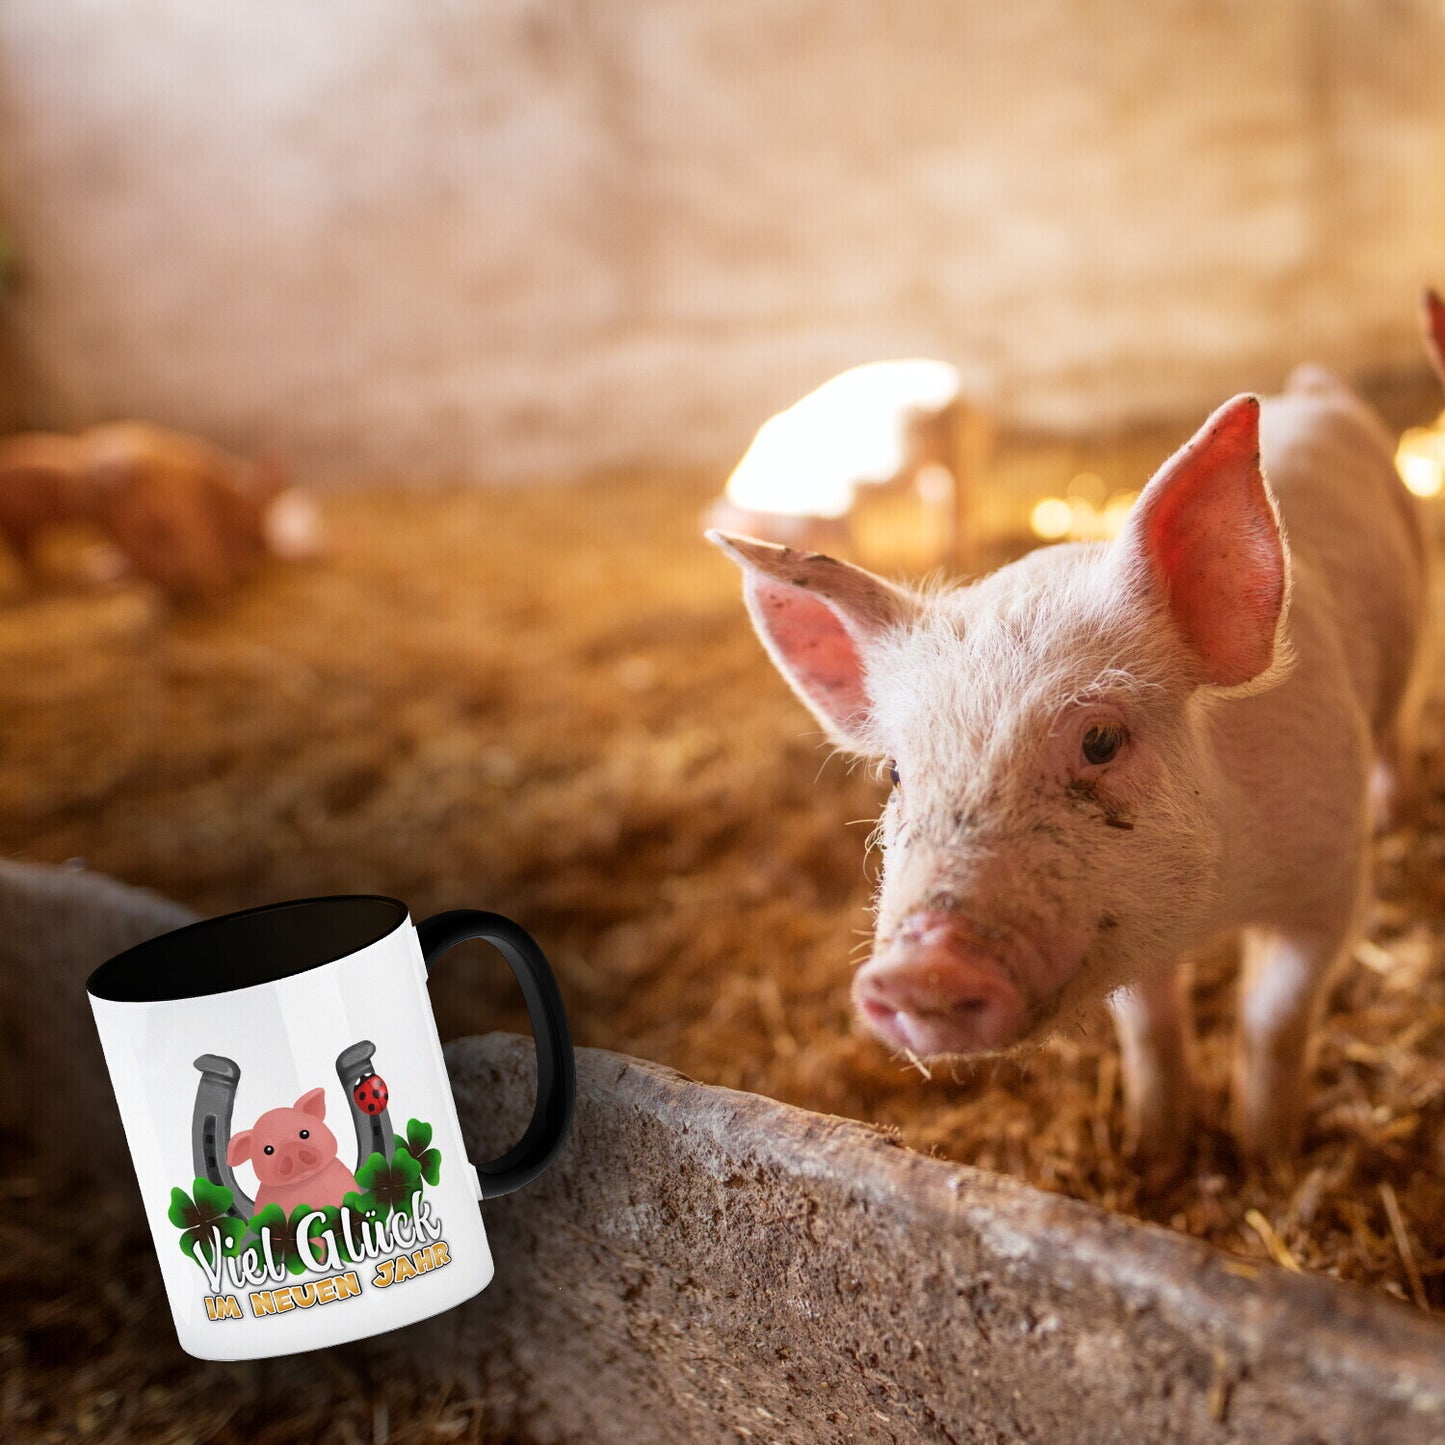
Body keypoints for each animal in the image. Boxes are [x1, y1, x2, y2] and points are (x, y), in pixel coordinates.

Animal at [705, 346, 1427, 1173]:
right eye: (895, 771)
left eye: (1100, 740)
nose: (918, 968)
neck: (1216, 907)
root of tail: (1310, 391)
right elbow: (1150, 1031)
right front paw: (1156, 1155)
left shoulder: (1327, 880)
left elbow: (1272, 1019)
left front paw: (1267, 1158)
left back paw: (1397, 811)